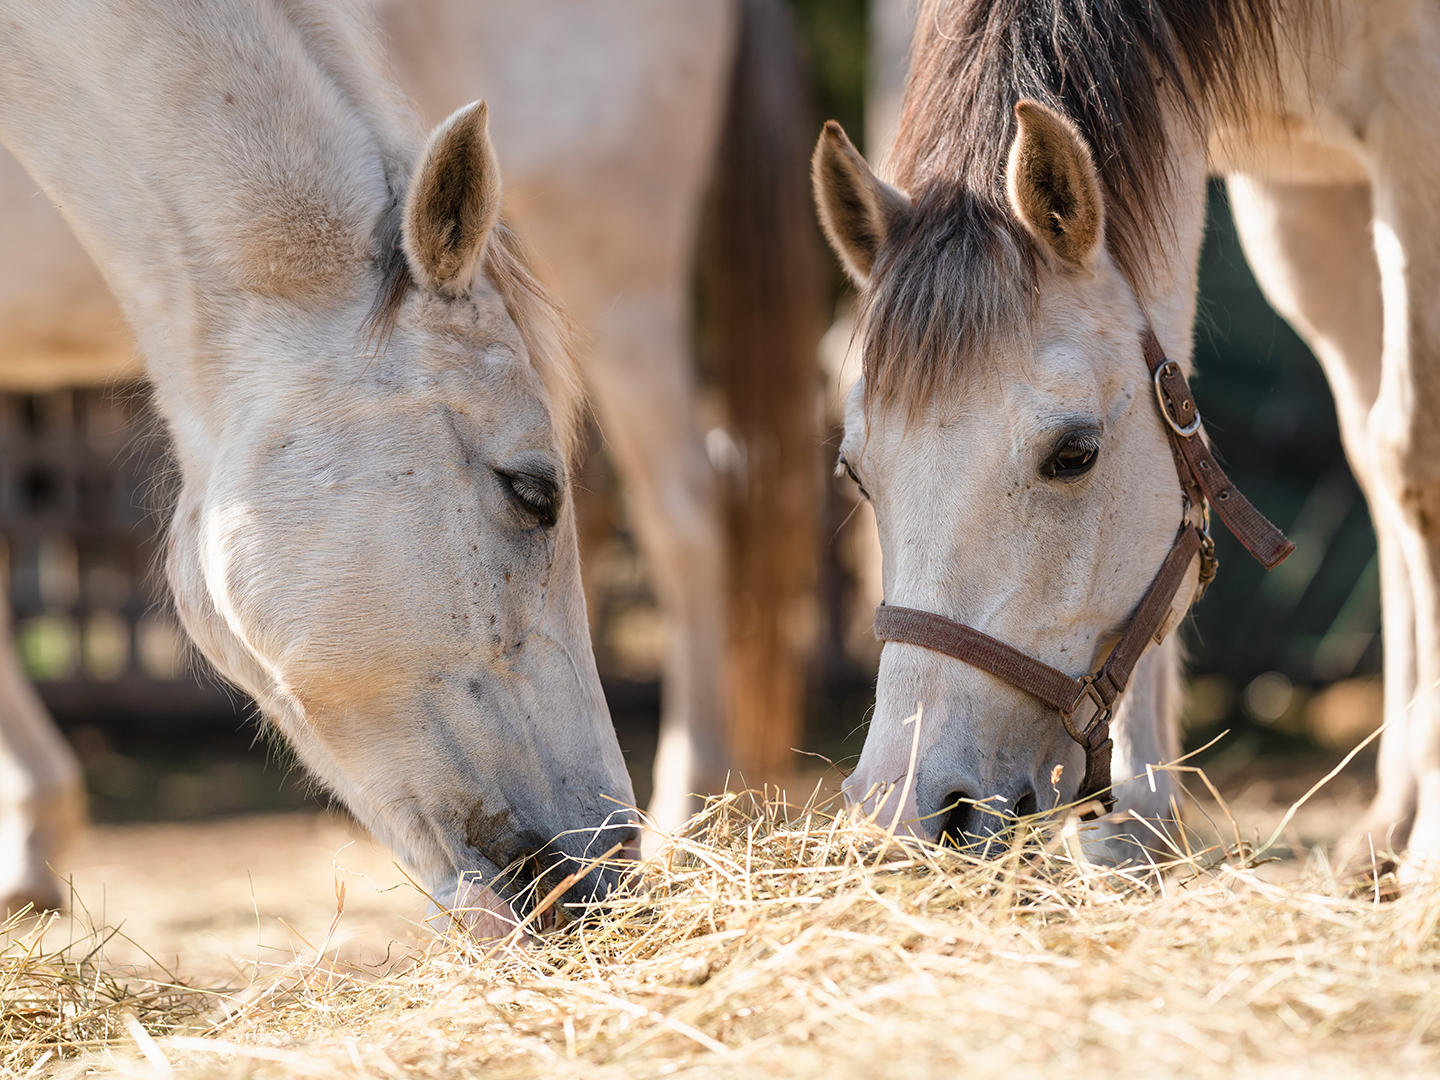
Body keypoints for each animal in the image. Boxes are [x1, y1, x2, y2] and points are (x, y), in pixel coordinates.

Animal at [817, 0, 1440, 869]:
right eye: (856, 473)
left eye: (1073, 455)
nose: (901, 812)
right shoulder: (1278, 186)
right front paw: (1128, 841)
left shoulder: (1414, 118)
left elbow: (1421, 461)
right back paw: (1387, 821)